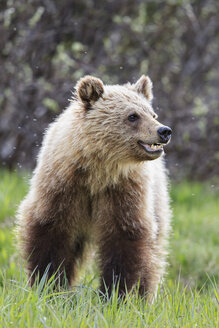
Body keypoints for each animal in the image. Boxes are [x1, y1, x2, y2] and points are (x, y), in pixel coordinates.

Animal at [16, 74, 172, 300]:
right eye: (133, 116)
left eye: (152, 113)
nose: (164, 131)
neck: (97, 171)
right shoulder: (63, 186)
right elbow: (49, 231)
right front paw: (49, 286)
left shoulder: (123, 192)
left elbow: (126, 238)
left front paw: (117, 294)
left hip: (157, 201)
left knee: (153, 253)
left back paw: (144, 295)